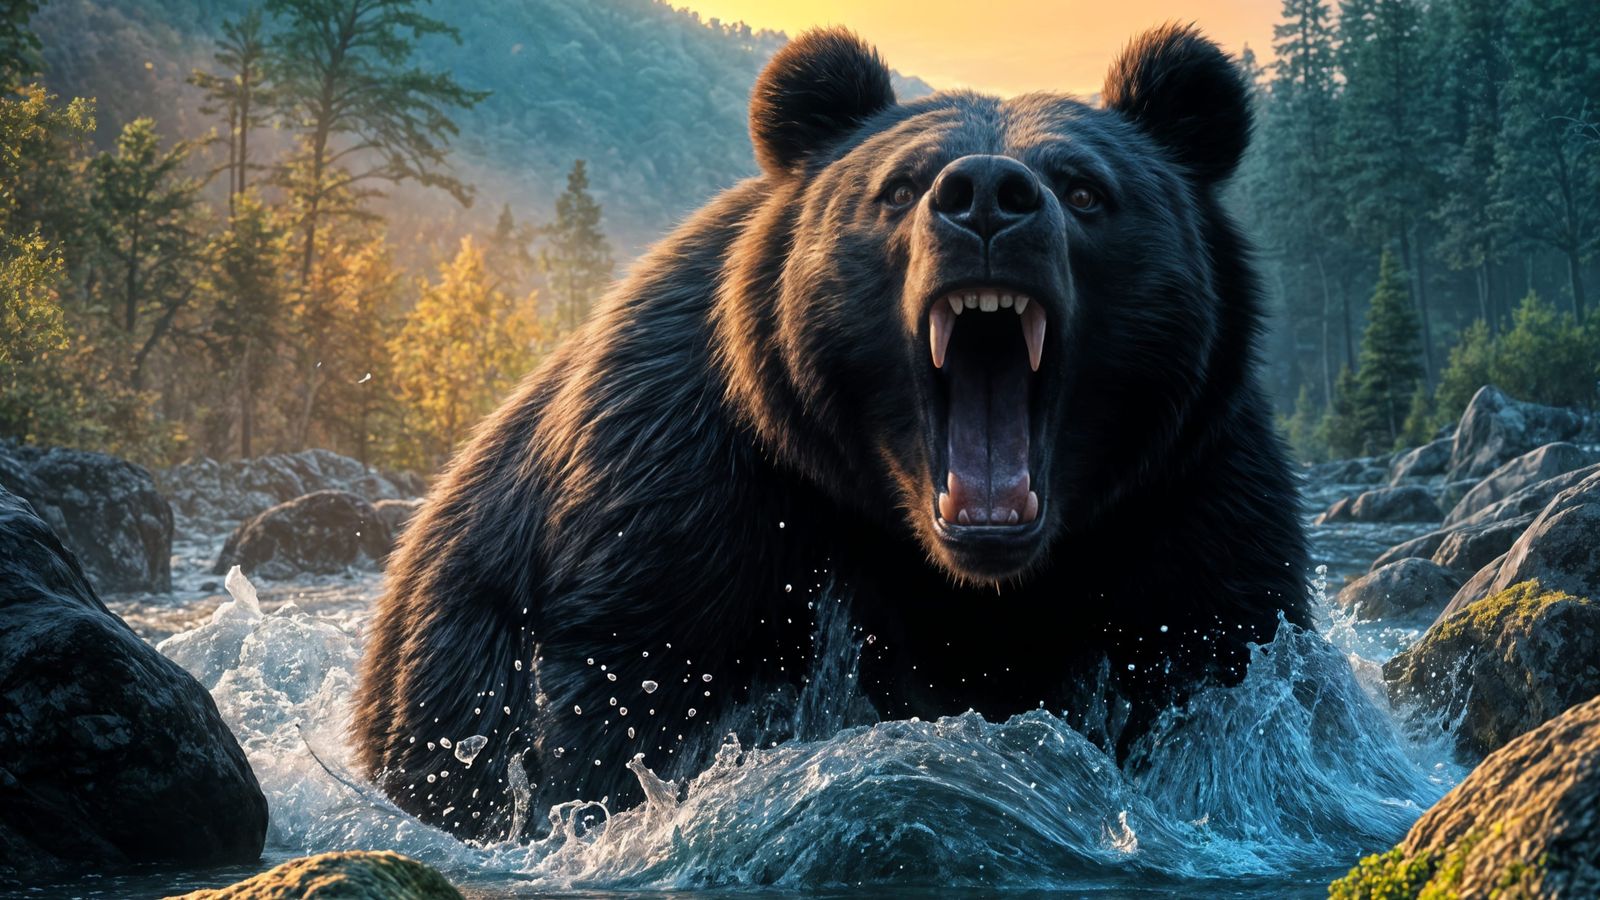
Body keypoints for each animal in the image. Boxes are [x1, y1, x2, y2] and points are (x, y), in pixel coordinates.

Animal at [353, 24, 1309, 841]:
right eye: (901, 186)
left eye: (1084, 188)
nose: (987, 197)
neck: (965, 572)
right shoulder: (689, 502)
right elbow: (616, 712)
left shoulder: (1190, 508)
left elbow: (1223, 684)